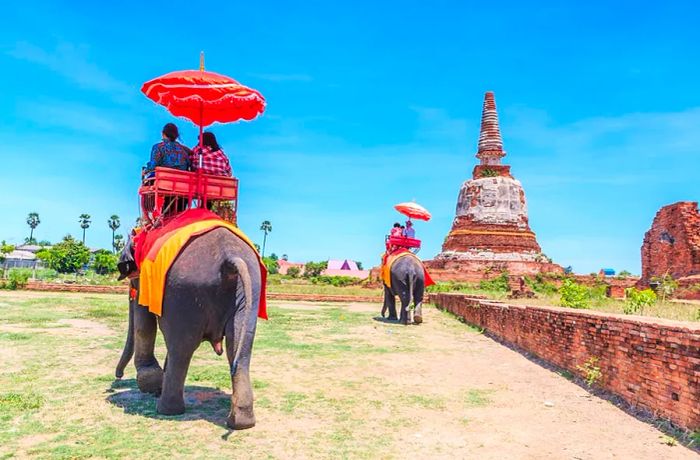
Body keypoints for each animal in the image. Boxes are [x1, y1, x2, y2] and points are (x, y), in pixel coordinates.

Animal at [115, 228, 262, 430]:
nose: (118, 376)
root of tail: (230, 258)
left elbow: (144, 324)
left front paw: (150, 384)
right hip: (249, 292)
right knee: (240, 347)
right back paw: (241, 422)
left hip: (184, 293)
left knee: (181, 349)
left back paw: (166, 409)